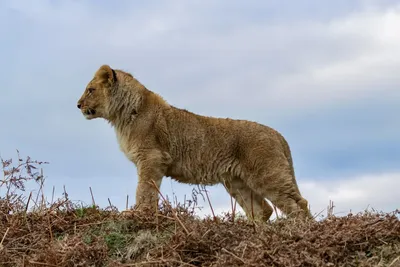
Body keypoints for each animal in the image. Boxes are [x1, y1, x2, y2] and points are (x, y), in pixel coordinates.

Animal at [76, 65, 312, 222]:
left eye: (90, 90)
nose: (78, 105)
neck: (121, 117)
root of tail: (279, 135)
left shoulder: (152, 158)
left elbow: (144, 188)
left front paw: (138, 213)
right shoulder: (152, 160)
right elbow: (148, 189)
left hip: (267, 175)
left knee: (298, 204)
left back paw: (300, 231)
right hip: (236, 182)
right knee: (263, 209)